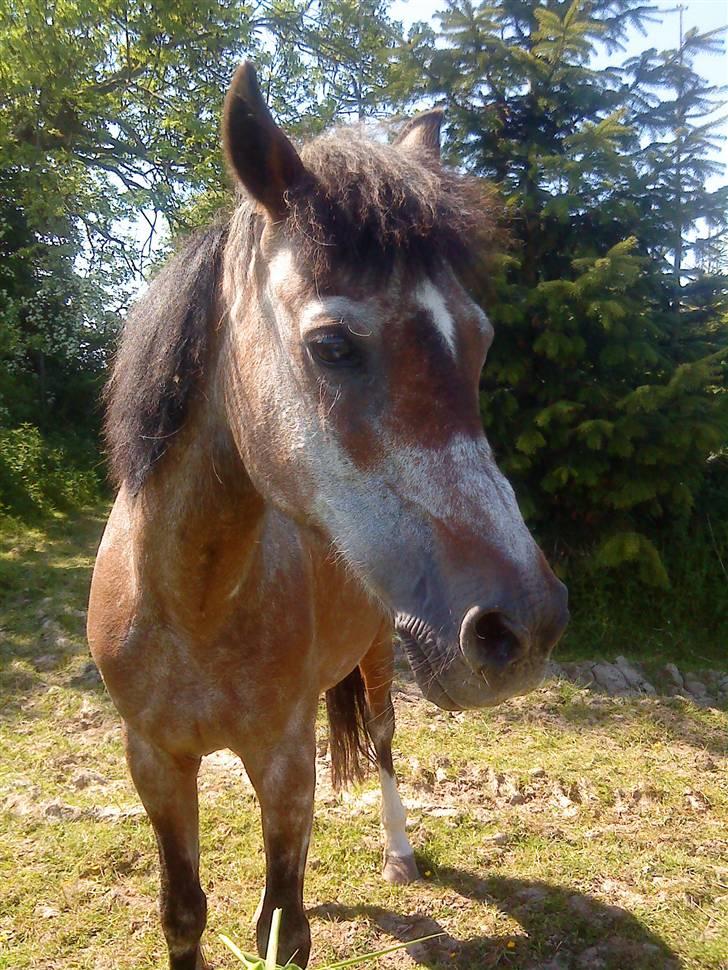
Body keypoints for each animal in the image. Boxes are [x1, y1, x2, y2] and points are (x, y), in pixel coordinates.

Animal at [88, 62, 568, 968]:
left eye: (480, 341)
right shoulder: (154, 763)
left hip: (380, 660)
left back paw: (400, 854)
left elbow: (287, 926)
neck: (191, 603)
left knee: (381, 741)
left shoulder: (285, 761)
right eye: (332, 345)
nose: (526, 628)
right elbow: (183, 913)